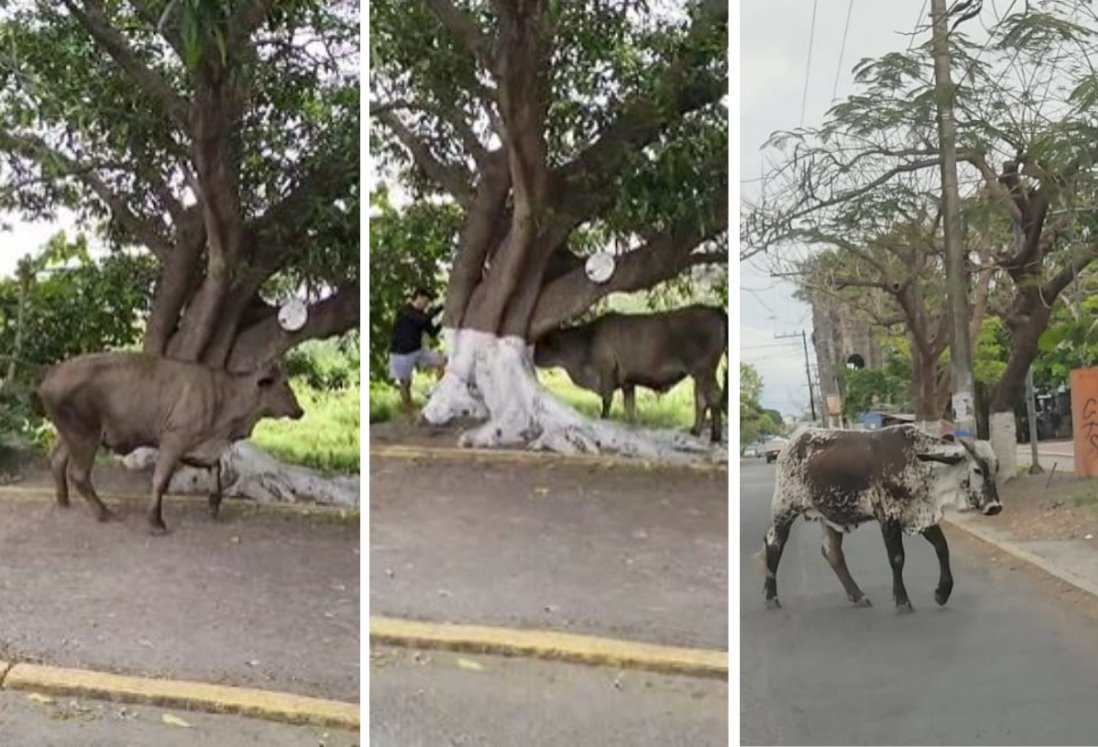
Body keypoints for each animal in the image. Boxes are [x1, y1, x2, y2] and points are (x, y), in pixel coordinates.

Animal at [533, 305, 729, 443]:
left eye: (543, 342)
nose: (533, 355)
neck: (586, 340)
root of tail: (715, 310)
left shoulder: (607, 373)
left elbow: (606, 402)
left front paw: (604, 421)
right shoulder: (627, 383)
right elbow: (630, 409)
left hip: (704, 371)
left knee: (714, 397)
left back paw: (715, 437)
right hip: (700, 375)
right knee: (701, 400)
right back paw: (695, 431)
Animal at [759, 426, 1001, 610]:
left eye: (996, 468)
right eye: (977, 470)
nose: (995, 506)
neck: (918, 463)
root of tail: (796, 438)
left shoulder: (920, 515)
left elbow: (942, 547)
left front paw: (942, 592)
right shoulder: (888, 517)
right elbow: (897, 558)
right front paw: (902, 600)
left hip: (828, 517)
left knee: (832, 552)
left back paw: (858, 596)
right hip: (784, 507)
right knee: (774, 543)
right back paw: (771, 597)